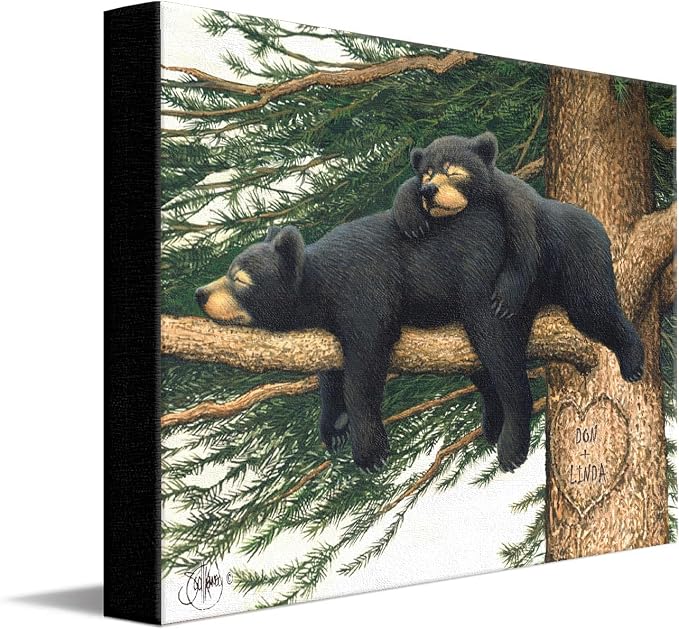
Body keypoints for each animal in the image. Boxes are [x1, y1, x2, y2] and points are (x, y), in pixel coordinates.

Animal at [195, 171, 644, 473]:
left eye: (240, 279)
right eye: (228, 269)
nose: (200, 293)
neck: (320, 285)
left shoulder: (365, 290)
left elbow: (366, 358)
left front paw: (369, 448)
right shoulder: (326, 323)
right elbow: (330, 366)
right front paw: (333, 424)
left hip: (508, 275)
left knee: (528, 335)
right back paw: (493, 421)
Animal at [393, 132, 541, 319]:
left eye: (453, 172)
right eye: (427, 175)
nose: (428, 190)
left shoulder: (515, 203)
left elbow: (524, 247)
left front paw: (503, 302)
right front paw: (413, 224)